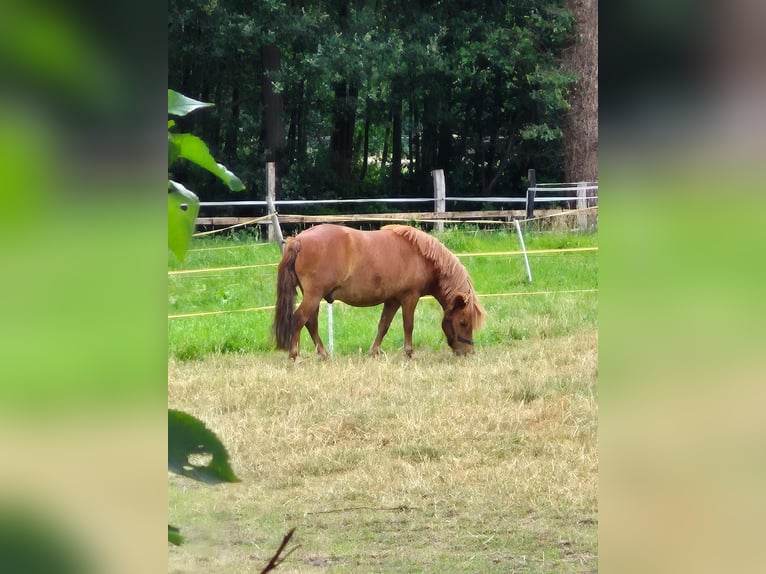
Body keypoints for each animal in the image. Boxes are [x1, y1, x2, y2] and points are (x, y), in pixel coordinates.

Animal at [273, 223, 485, 359]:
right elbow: (408, 325)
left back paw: (324, 354)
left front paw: (374, 352)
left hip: (314, 297)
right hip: (313, 295)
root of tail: (298, 240)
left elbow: (383, 325)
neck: (422, 256)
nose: (468, 352)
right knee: (299, 319)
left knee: (311, 323)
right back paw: (294, 355)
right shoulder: (410, 297)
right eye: (463, 322)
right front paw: (409, 353)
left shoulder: (392, 300)